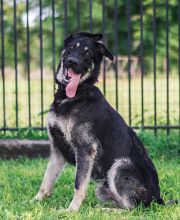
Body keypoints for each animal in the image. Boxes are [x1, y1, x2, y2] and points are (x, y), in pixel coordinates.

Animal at [34, 32, 165, 211]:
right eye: (72, 48)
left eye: (88, 54)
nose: (72, 61)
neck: (75, 94)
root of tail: (158, 199)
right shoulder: (57, 149)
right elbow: (46, 179)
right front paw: (36, 200)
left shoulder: (85, 150)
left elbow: (79, 183)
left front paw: (72, 210)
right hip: (102, 188)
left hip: (119, 166)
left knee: (132, 207)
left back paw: (106, 210)